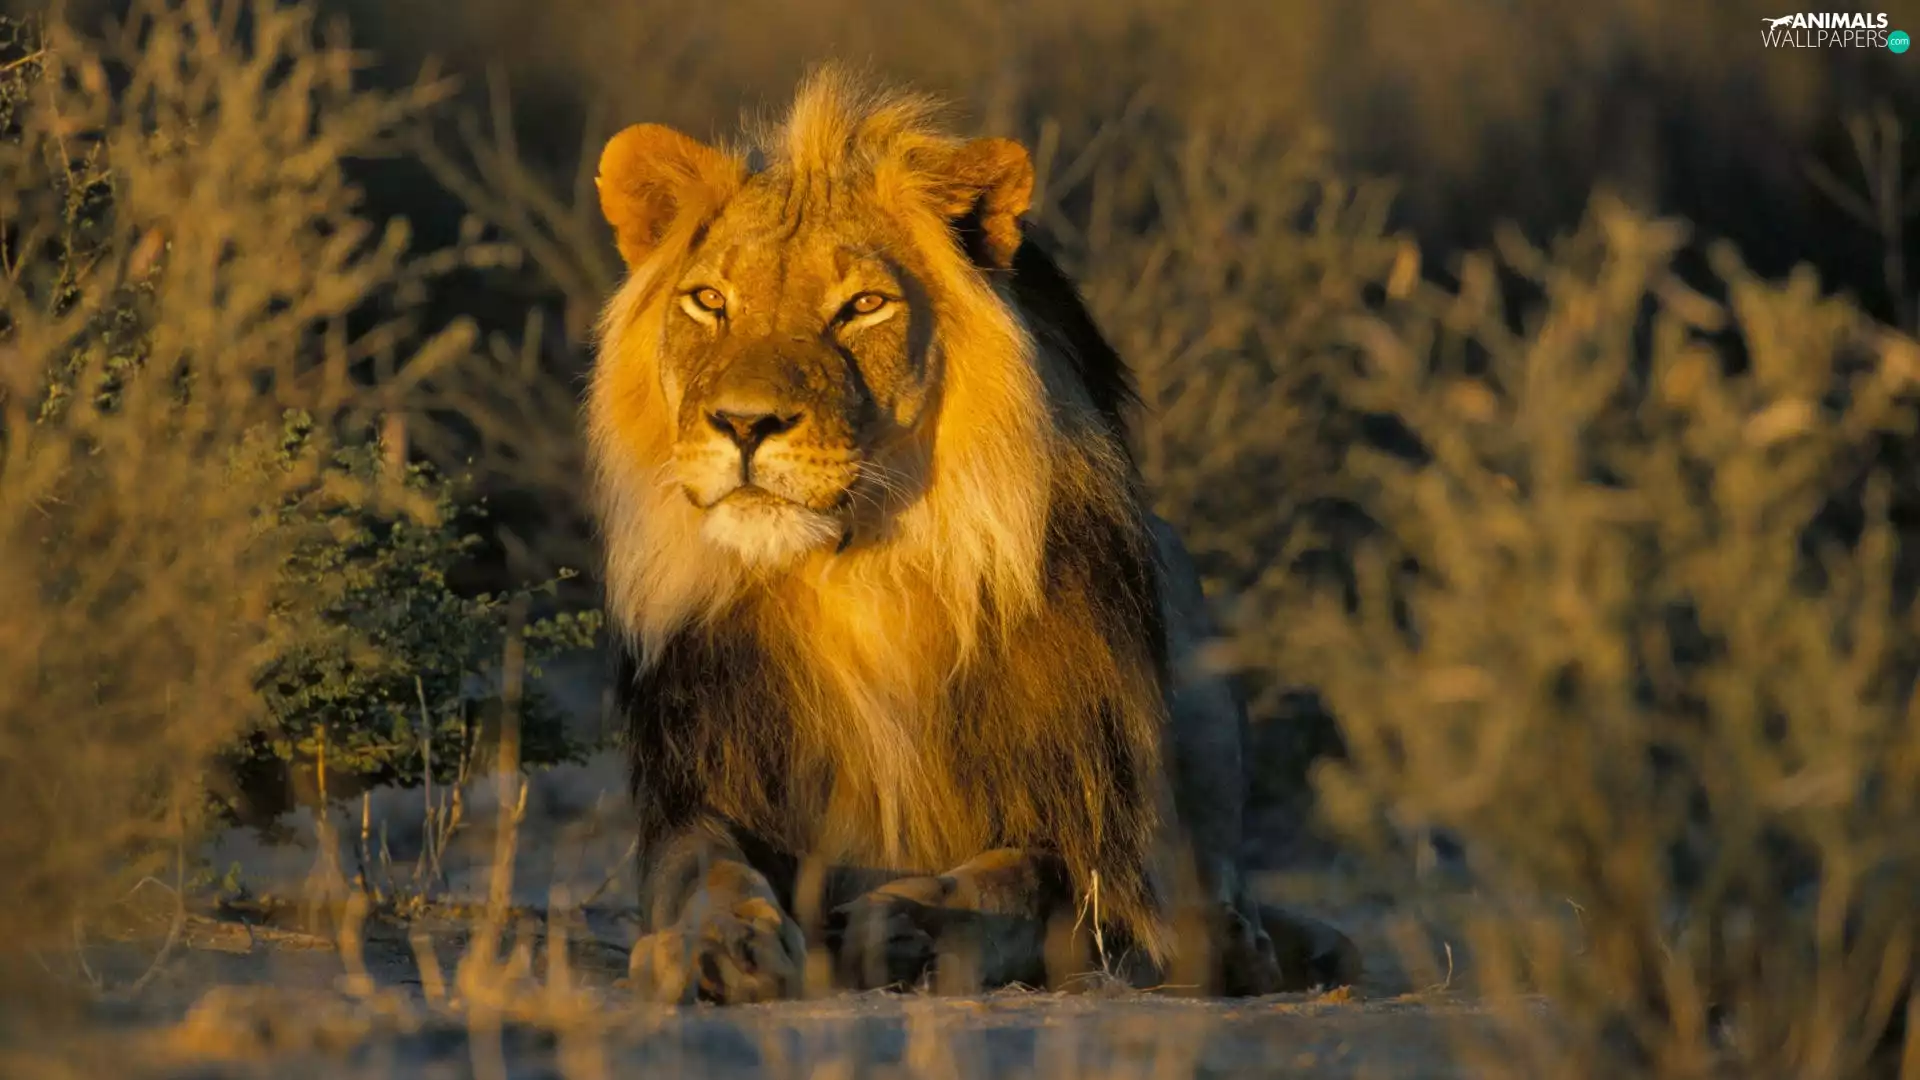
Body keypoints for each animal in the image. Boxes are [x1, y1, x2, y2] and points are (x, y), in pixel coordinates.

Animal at [588, 66, 1360, 1004]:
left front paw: (906, 926)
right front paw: (718, 944)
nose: (743, 424)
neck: (860, 577)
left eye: (863, 306)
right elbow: (703, 869)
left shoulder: (1103, 843)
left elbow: (1026, 878)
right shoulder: (702, 786)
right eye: (708, 301)